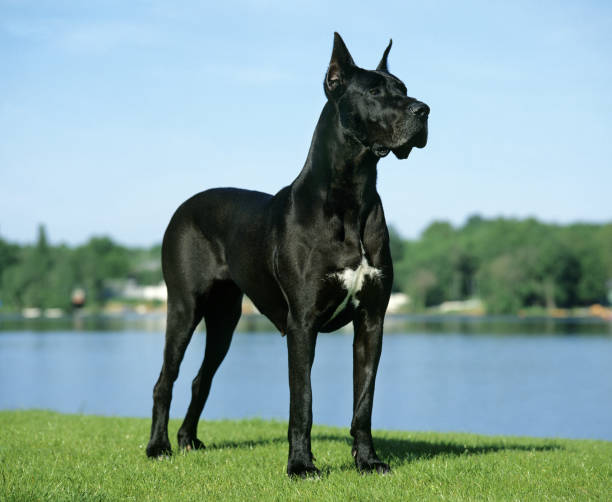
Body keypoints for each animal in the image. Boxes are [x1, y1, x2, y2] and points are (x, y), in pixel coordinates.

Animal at [146, 33, 428, 476]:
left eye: (403, 87)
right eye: (374, 92)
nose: (424, 110)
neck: (352, 194)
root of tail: (185, 205)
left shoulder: (372, 321)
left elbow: (363, 402)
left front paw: (368, 460)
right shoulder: (302, 323)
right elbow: (303, 402)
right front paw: (300, 465)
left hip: (225, 318)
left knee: (200, 379)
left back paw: (188, 440)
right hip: (183, 306)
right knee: (166, 380)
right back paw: (158, 446)